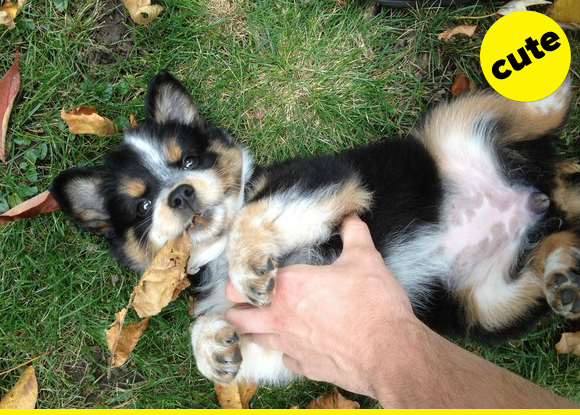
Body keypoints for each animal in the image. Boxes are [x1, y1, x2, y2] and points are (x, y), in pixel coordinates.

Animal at [51, 72, 580, 386]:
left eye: (189, 161)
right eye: (142, 205)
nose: (179, 194)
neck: (215, 254)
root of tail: (536, 190)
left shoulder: (324, 181)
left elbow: (251, 216)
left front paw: (248, 270)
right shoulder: (284, 339)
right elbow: (231, 335)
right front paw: (216, 350)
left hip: (451, 126)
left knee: (534, 111)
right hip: (486, 305)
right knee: (546, 255)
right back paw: (564, 275)